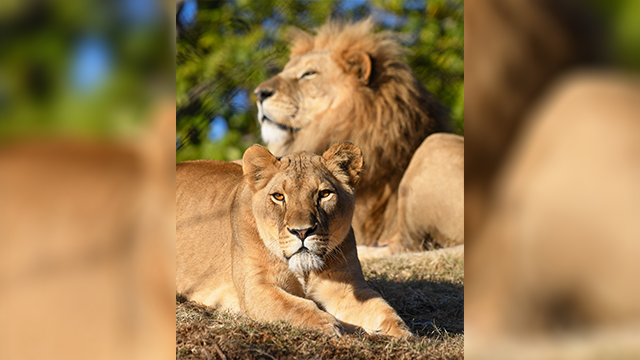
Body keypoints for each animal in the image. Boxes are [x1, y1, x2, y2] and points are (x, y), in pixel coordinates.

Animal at [175, 143, 410, 338]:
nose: (302, 231)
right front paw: (327, 324)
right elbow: (293, 306)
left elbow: (380, 306)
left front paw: (399, 331)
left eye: (324, 194)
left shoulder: (345, 286)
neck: (304, 271)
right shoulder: (256, 286)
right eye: (279, 196)